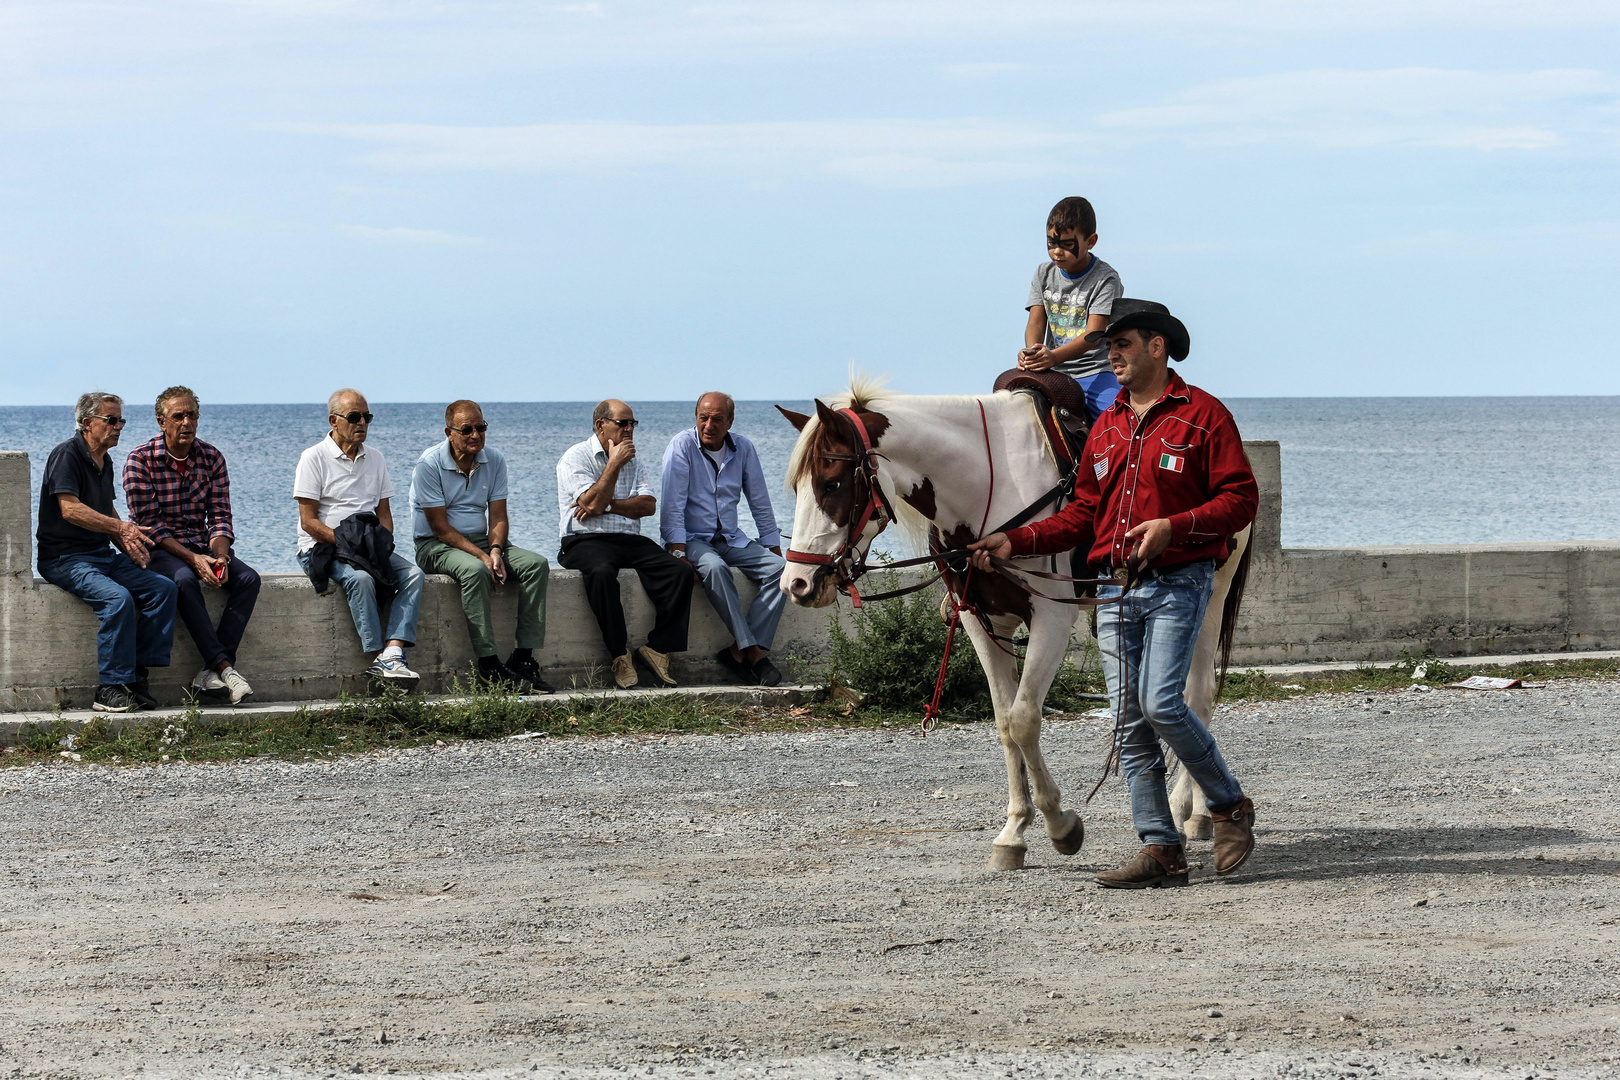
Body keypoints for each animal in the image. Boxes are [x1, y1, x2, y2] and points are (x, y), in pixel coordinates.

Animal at [780, 380, 1250, 867]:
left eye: (832, 483)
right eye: (797, 488)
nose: (797, 583)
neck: (985, 491)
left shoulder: (1051, 618)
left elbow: (1025, 718)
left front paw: (1061, 825)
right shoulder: (981, 622)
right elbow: (1006, 723)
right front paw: (1014, 831)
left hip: (1208, 605)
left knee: (1195, 699)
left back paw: (1187, 812)